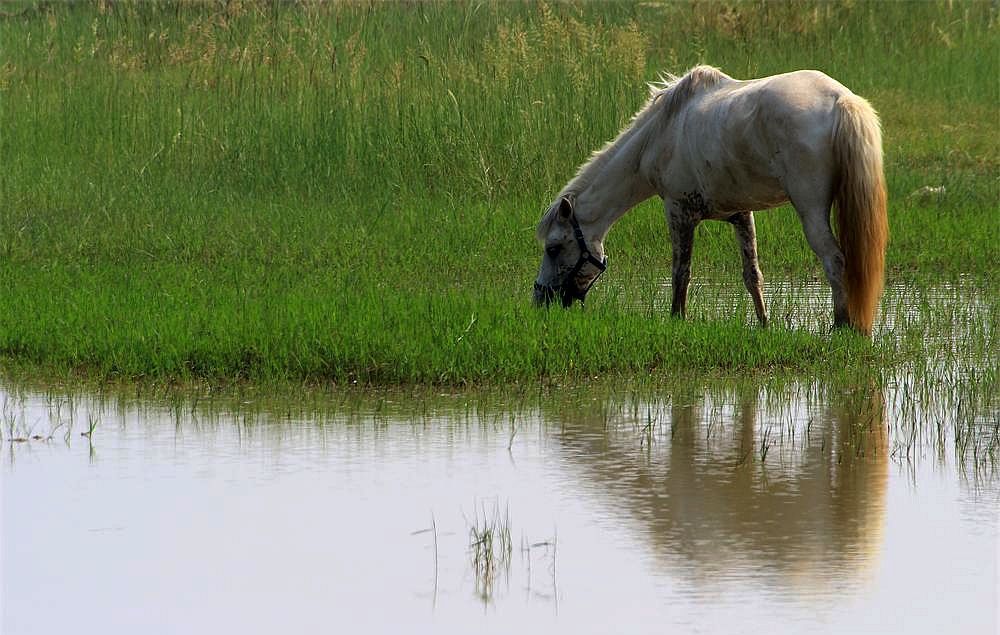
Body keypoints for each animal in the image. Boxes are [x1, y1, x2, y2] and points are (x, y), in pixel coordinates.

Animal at [536, 67, 888, 338]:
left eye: (553, 248)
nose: (539, 299)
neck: (660, 134)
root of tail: (840, 99)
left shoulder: (678, 211)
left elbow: (681, 272)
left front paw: (677, 319)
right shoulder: (741, 214)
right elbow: (753, 276)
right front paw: (763, 326)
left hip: (811, 210)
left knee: (834, 260)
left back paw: (840, 326)